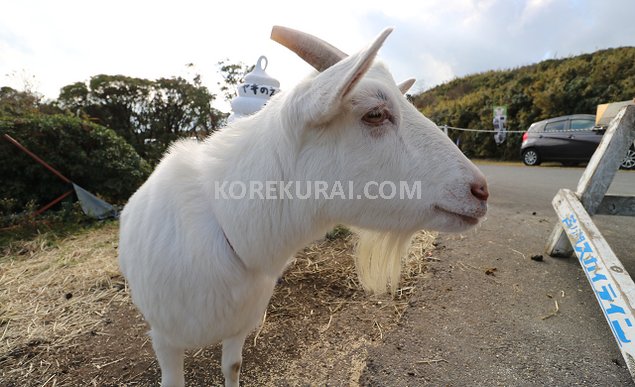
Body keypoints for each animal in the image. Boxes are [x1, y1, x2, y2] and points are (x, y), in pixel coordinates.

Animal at [118, 25, 486, 386]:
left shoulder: (240, 325)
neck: (226, 225)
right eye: (375, 113)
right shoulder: (165, 340)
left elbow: (232, 367)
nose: (481, 191)